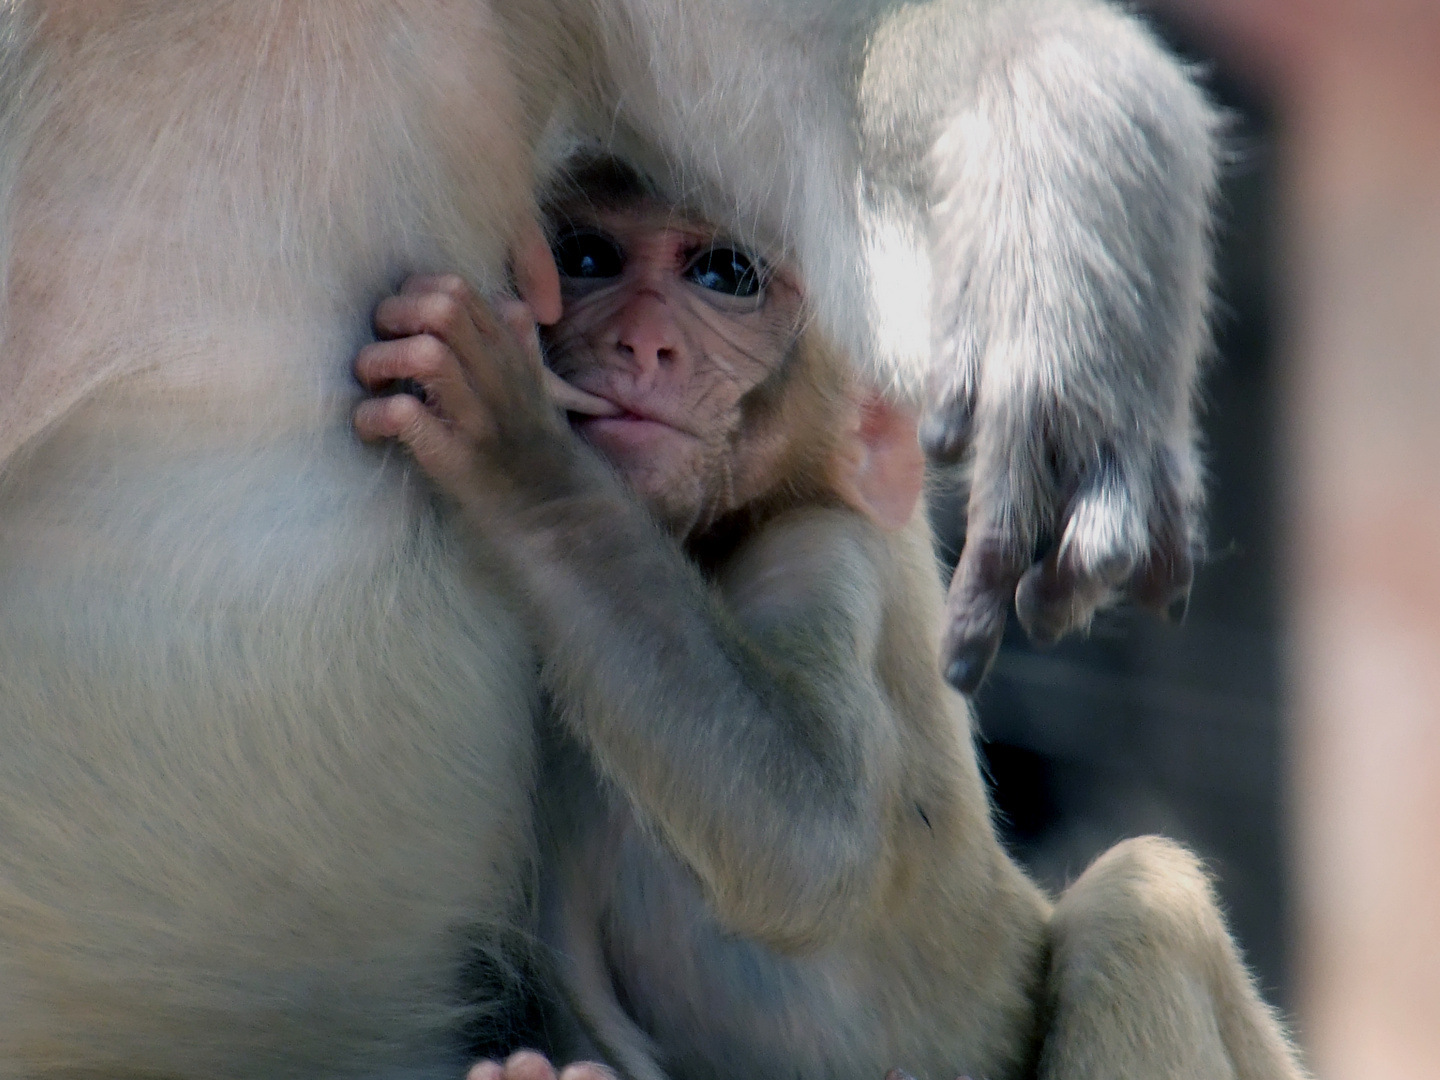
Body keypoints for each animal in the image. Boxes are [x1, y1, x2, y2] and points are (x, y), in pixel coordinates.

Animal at [354, 164, 1313, 1080]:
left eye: (725, 275)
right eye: (588, 256)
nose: (640, 342)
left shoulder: (821, 558)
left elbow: (813, 842)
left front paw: (521, 451)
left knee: (1139, 901)